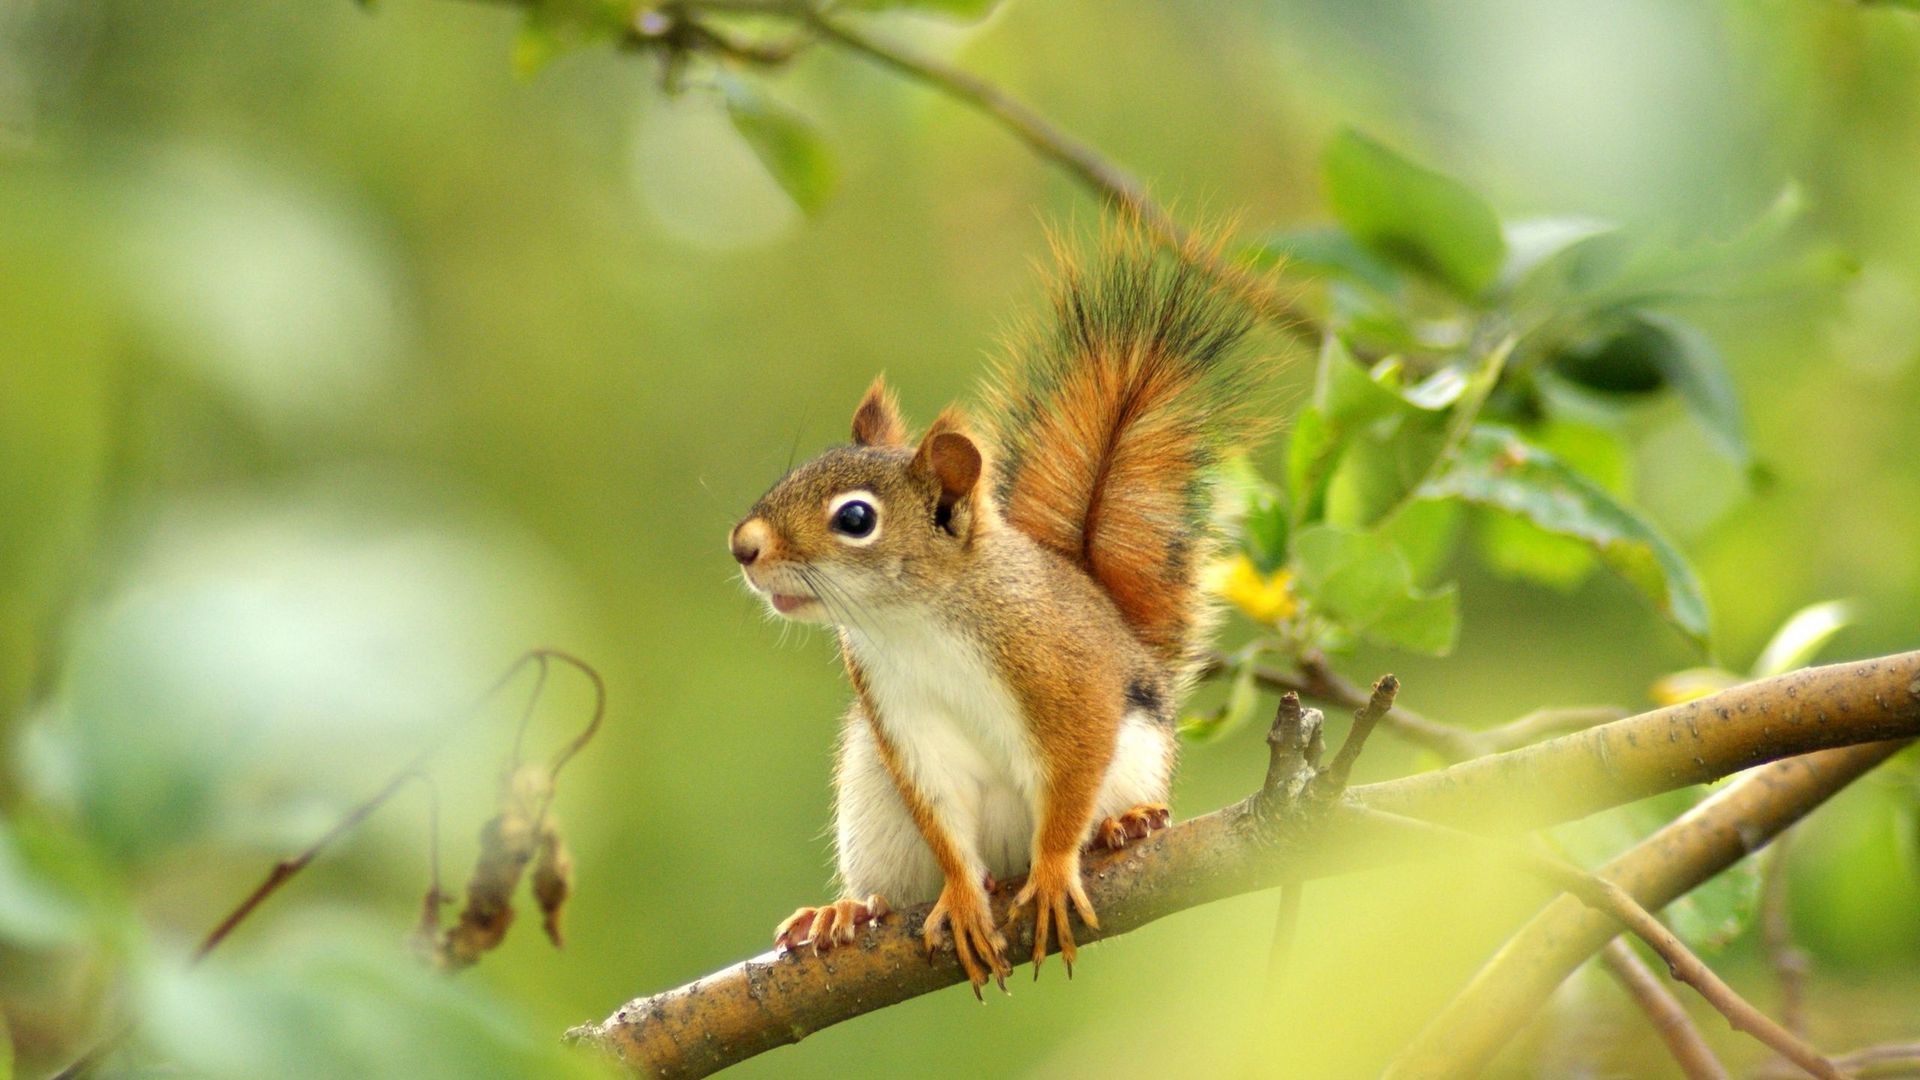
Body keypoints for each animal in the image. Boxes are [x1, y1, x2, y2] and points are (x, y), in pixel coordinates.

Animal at [721, 237, 1259, 991]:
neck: (915, 622)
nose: (743, 546)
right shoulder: (900, 714)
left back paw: (1122, 826)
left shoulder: (1067, 675)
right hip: (871, 805)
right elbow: (942, 815)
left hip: (1135, 757)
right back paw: (848, 910)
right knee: (894, 883)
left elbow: (1071, 774)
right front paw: (961, 897)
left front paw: (1058, 867)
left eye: (855, 519)